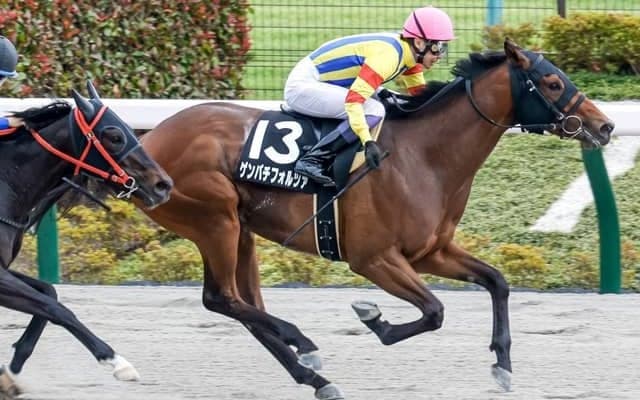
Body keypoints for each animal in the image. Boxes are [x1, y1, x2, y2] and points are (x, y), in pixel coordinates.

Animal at [0, 81, 173, 397]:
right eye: (114, 136)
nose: (163, 185)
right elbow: (57, 308)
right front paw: (117, 361)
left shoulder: (4, 270)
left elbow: (49, 293)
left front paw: (11, 371)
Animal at [137, 40, 613, 399]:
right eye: (553, 82)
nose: (605, 126)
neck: (425, 156)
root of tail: (151, 140)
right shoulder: (373, 259)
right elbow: (435, 311)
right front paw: (373, 318)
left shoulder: (431, 251)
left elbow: (497, 281)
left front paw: (503, 365)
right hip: (215, 220)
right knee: (221, 299)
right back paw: (304, 343)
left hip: (240, 230)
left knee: (245, 304)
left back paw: (314, 375)